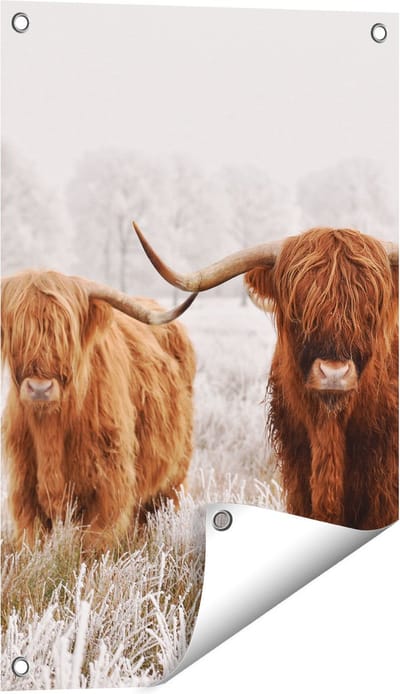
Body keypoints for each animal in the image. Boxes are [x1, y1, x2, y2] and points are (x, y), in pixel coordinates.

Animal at [1, 270, 197, 549]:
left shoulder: (108, 487)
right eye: (15, 329)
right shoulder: (24, 488)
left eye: (67, 331)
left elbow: (94, 545)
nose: (40, 388)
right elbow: (32, 541)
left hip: (175, 474)